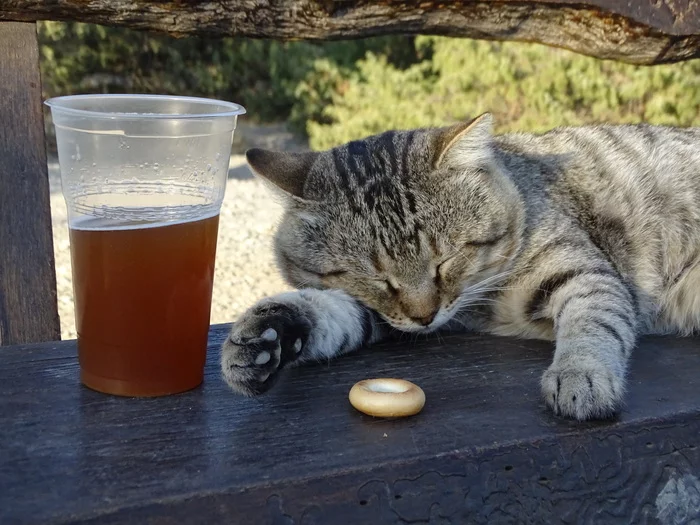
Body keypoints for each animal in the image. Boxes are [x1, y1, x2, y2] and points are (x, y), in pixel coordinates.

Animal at [220, 112, 700, 420]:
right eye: (378, 278)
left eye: (445, 259)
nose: (425, 315)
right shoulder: (385, 316)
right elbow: (328, 312)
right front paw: (266, 336)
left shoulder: (583, 272)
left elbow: (595, 321)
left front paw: (581, 375)